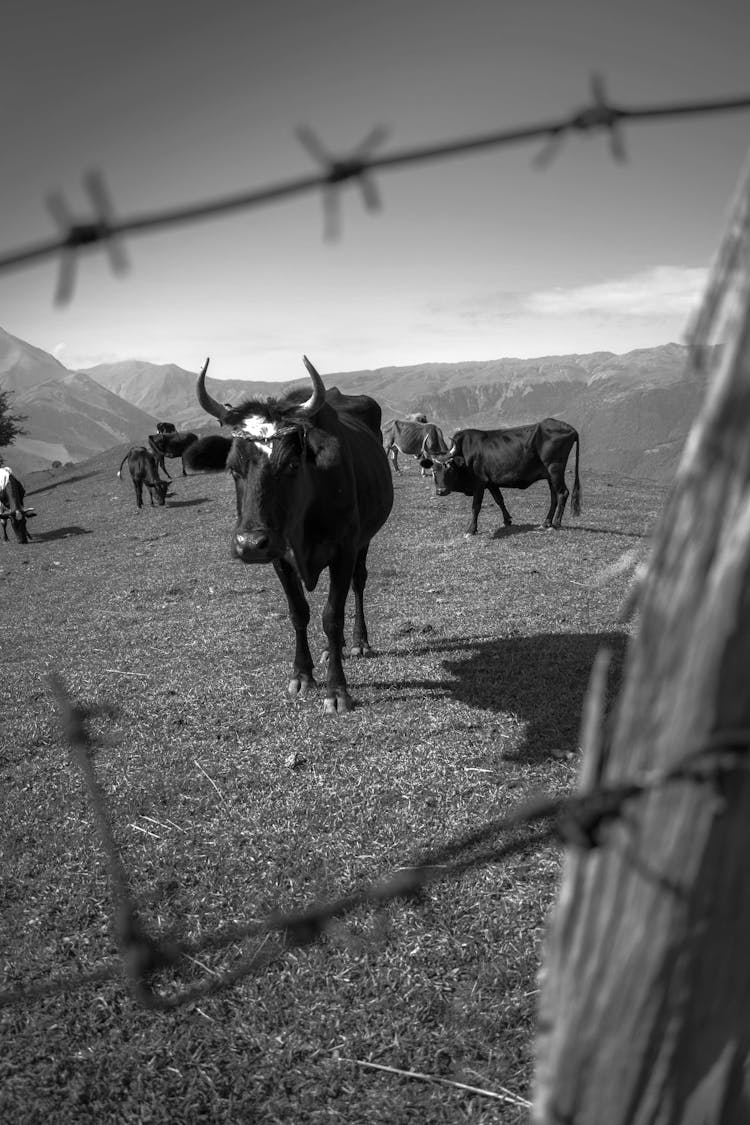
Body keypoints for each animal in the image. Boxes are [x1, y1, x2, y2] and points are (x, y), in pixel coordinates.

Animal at [185, 355, 395, 715]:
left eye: (292, 465)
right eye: (233, 468)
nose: (250, 545)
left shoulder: (344, 549)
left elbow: (332, 616)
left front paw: (337, 690)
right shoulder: (279, 555)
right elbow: (299, 612)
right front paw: (303, 674)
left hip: (365, 539)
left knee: (359, 582)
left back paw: (358, 642)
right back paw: (332, 649)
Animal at [431, 423, 584, 535]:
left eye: (449, 468)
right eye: (433, 471)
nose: (441, 491)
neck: (464, 456)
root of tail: (571, 429)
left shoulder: (479, 484)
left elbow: (476, 506)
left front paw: (471, 530)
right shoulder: (491, 483)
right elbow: (499, 500)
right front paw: (507, 520)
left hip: (555, 469)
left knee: (562, 493)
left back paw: (556, 523)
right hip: (550, 476)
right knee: (554, 496)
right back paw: (546, 523)